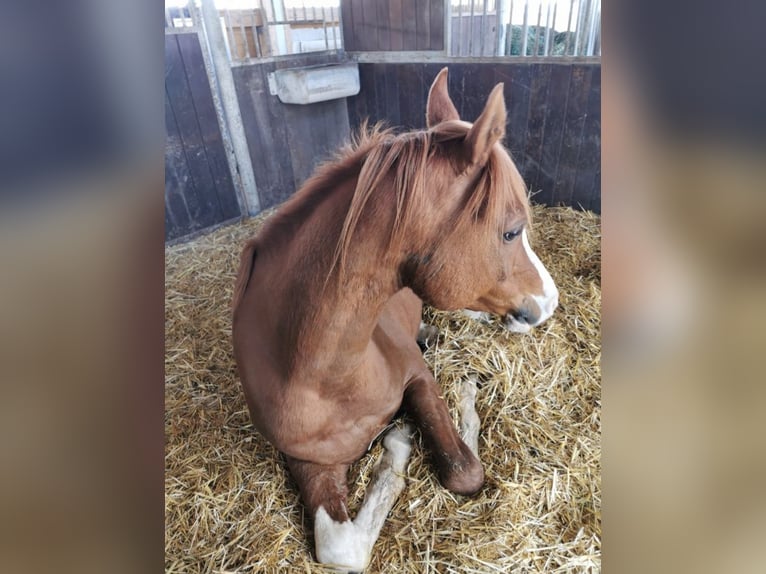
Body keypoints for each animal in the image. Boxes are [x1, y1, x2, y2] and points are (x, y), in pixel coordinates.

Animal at [231, 70, 560, 572]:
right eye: (510, 231)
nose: (550, 301)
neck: (325, 376)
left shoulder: (417, 377)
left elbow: (464, 469)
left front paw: (428, 423)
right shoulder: (306, 460)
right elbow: (341, 549)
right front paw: (398, 448)